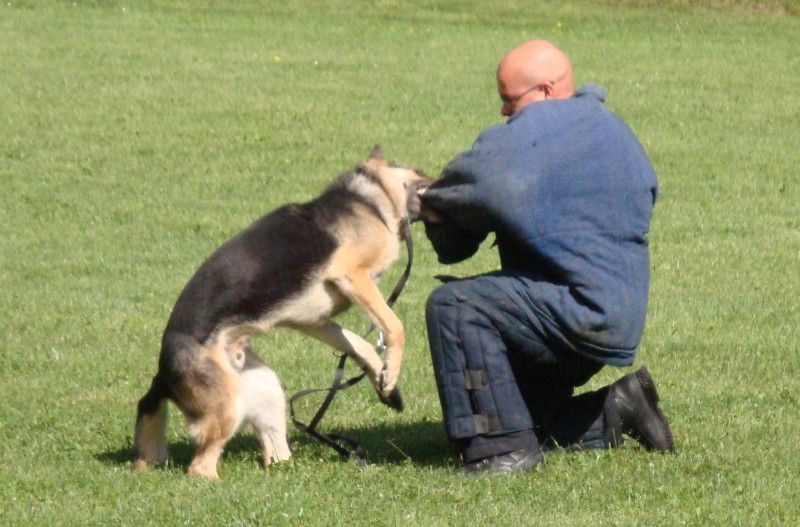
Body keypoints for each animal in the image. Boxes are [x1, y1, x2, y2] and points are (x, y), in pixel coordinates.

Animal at [131, 146, 432, 480]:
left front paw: (385, 383)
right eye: (420, 171)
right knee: (199, 467)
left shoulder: (314, 321)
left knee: (275, 453)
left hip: (267, 390)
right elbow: (394, 325)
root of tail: (163, 375)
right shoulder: (353, 277)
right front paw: (390, 373)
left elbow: (360, 344)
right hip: (228, 405)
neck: (368, 200)